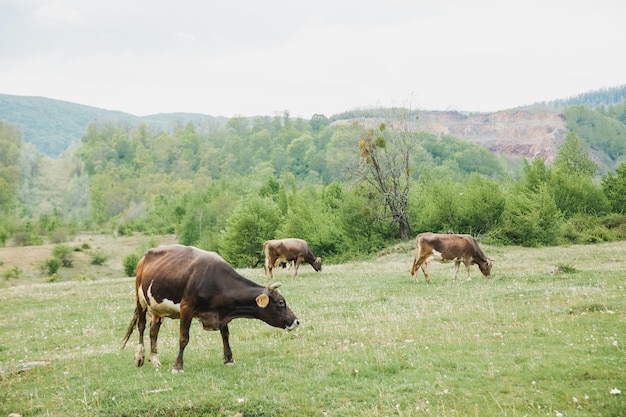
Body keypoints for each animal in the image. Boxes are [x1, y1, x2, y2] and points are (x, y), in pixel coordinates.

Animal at [122, 242, 300, 372]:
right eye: (281, 302)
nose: (296, 321)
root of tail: (145, 256)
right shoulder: (187, 308)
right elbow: (183, 338)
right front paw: (178, 366)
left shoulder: (222, 312)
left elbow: (225, 335)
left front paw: (229, 359)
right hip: (140, 300)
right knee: (141, 326)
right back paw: (139, 357)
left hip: (157, 308)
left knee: (153, 331)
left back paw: (155, 359)